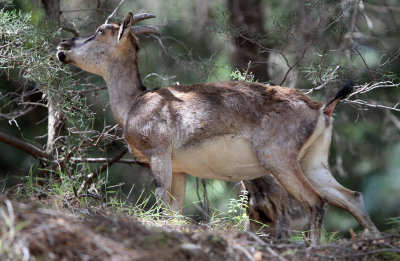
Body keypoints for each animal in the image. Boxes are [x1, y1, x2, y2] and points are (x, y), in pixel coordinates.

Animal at [56, 12, 378, 244]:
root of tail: (322, 109)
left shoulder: (159, 153)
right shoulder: (180, 169)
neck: (135, 104)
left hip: (279, 158)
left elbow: (161, 200)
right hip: (314, 160)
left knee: (316, 201)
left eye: (100, 31)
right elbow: (175, 209)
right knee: (352, 197)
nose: (63, 48)